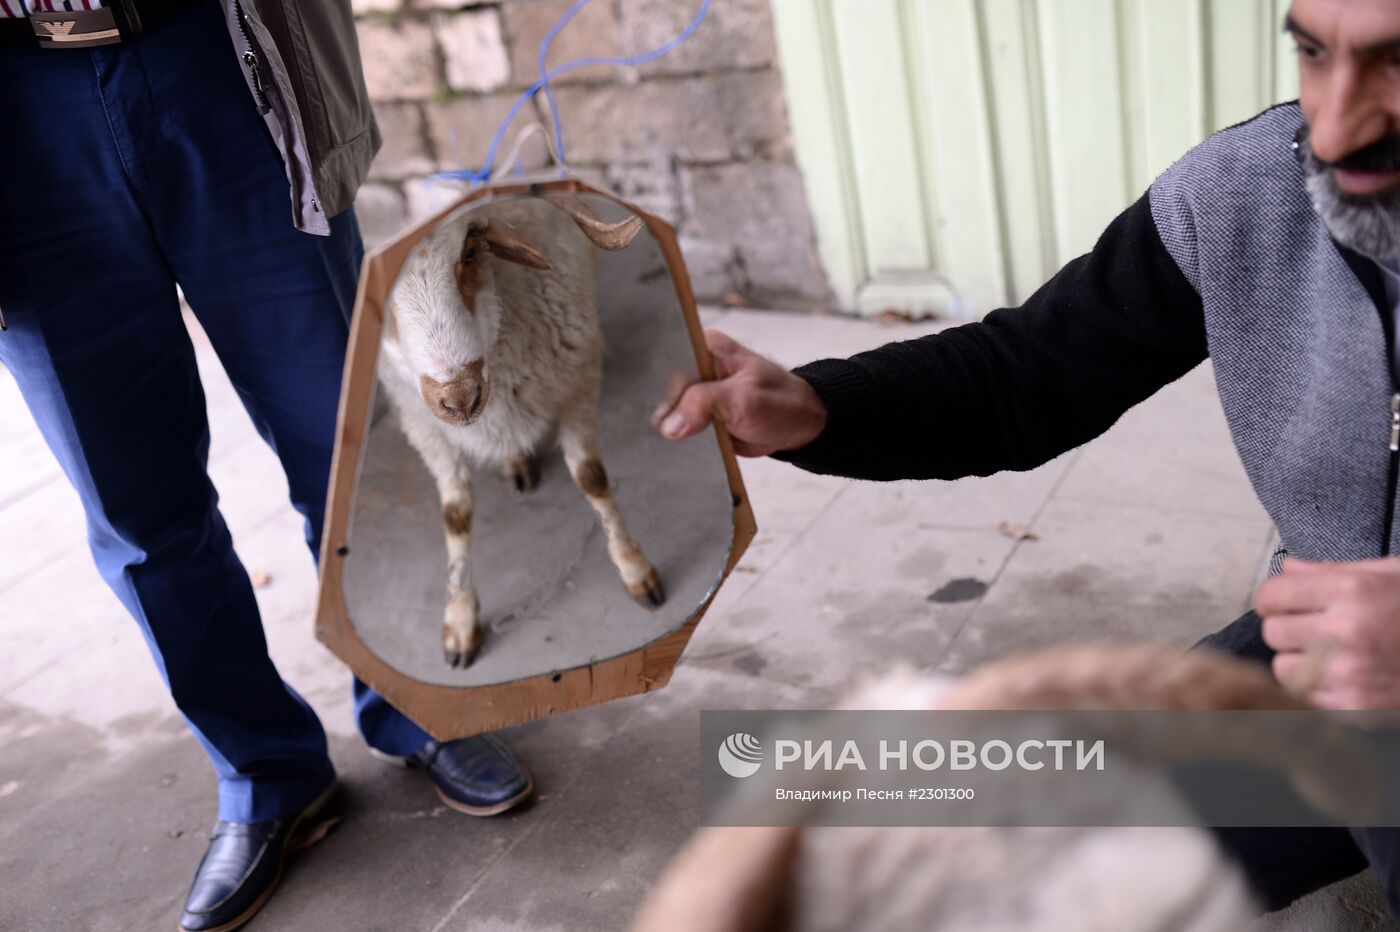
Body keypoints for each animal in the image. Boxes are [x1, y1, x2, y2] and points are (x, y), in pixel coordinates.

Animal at [377, 193, 666, 668]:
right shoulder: (427, 430)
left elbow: (592, 479)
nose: (460, 397)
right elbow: (455, 516)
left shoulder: (578, 383)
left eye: (469, 252)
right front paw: (460, 620)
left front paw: (635, 569)